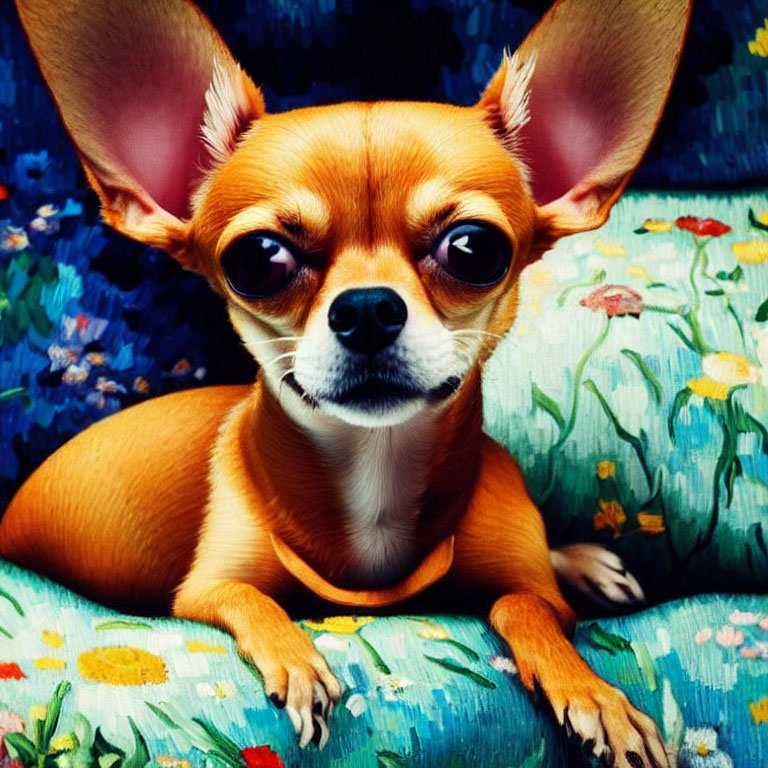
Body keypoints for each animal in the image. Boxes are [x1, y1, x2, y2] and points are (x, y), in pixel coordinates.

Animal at [0, 1, 692, 760]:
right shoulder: (206, 590)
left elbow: (525, 606)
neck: (375, 478)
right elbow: (252, 599)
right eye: (258, 258)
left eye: (474, 248)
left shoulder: (525, 583)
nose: (365, 308)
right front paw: (298, 663)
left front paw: (595, 697)